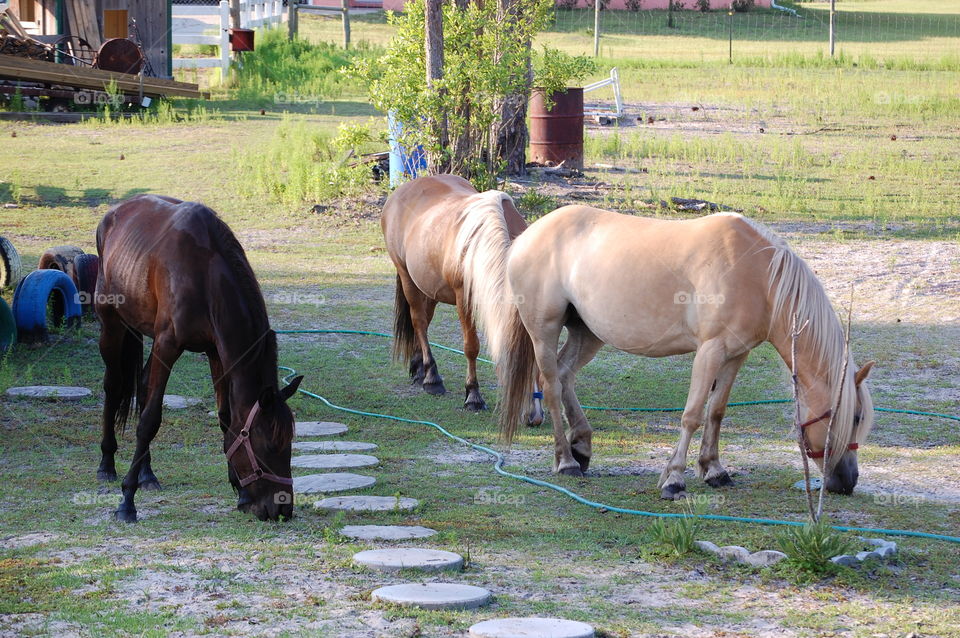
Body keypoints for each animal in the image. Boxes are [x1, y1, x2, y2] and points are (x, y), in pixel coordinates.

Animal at [96, 196, 300, 524]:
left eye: (290, 444)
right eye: (269, 446)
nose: (282, 509)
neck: (205, 273)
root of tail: (115, 212)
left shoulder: (216, 351)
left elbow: (226, 418)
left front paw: (241, 492)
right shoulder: (168, 345)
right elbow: (150, 421)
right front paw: (127, 500)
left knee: (143, 384)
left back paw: (147, 473)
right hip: (112, 324)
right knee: (114, 386)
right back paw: (107, 463)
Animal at [382, 176, 544, 424]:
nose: (534, 417)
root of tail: (401, 191)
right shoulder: (463, 300)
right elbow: (471, 347)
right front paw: (473, 396)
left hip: (430, 288)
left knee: (424, 323)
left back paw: (419, 370)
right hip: (407, 276)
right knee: (418, 321)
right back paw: (432, 378)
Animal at [498, 205, 872, 500]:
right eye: (853, 417)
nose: (848, 481)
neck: (759, 278)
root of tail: (528, 235)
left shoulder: (736, 355)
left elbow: (716, 412)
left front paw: (714, 470)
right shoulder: (710, 351)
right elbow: (692, 415)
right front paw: (674, 480)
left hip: (587, 332)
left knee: (564, 375)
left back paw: (582, 446)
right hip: (544, 331)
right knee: (550, 386)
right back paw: (566, 461)